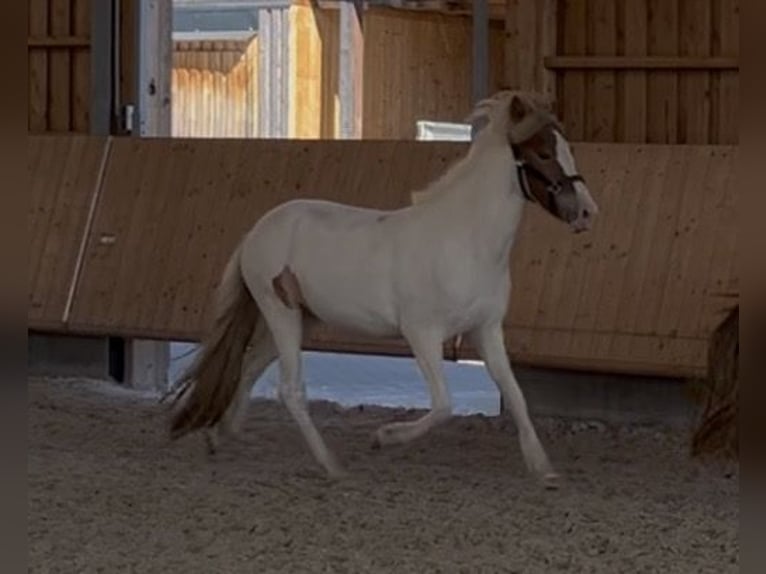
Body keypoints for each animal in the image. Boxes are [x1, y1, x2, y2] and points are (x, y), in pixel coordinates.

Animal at [168, 90, 599, 488]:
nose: (586, 212)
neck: (465, 241)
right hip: (281, 312)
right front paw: (384, 437)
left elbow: (516, 395)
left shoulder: (486, 330)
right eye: (543, 152)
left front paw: (543, 468)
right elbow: (444, 405)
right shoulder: (422, 333)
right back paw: (331, 465)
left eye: (566, 149)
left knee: (250, 366)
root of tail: (255, 233)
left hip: (300, 320)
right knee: (290, 389)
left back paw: (220, 435)